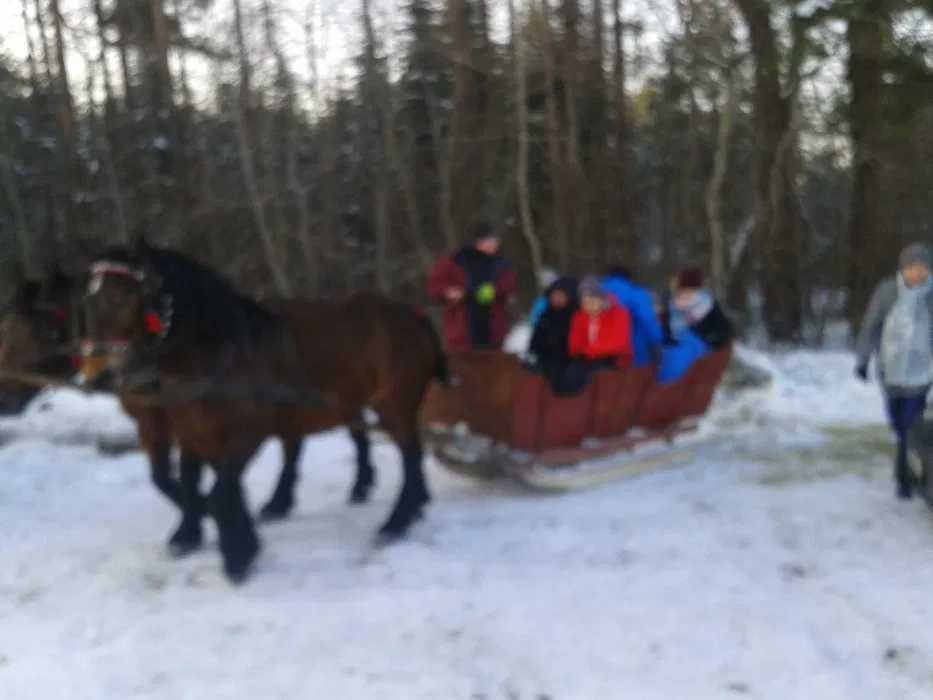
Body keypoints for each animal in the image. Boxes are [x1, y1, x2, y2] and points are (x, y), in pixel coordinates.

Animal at [80, 243, 444, 584]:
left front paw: (237, 555)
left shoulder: (245, 434)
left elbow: (218, 493)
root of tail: (411, 315)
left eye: (120, 298)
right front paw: (202, 534)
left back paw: (397, 521)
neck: (215, 352)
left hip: (393, 405)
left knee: (409, 457)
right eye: (90, 298)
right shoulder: (192, 434)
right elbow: (189, 484)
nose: (98, 370)